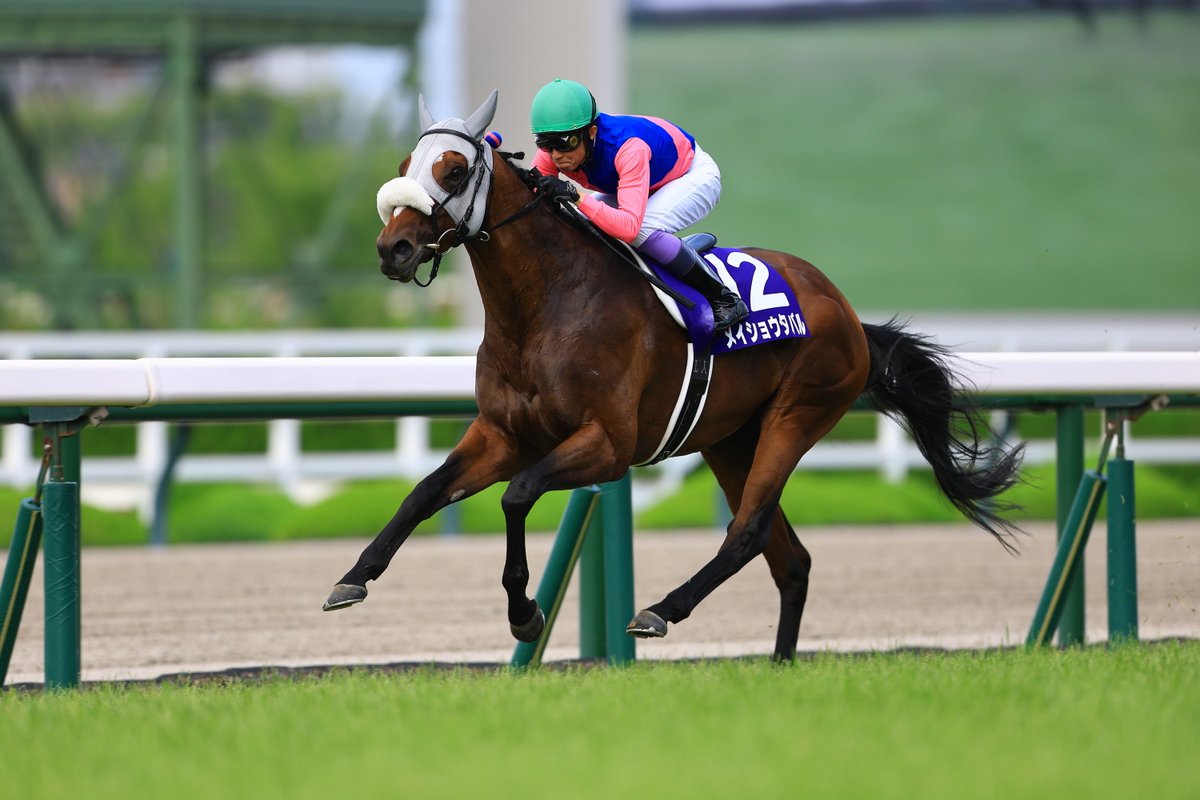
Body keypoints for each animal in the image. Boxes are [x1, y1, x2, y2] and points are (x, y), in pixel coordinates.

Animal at [322, 91, 1023, 662]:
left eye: (455, 169)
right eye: (407, 165)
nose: (393, 249)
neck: (545, 307)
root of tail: (846, 311)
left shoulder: (608, 445)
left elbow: (518, 495)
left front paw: (525, 615)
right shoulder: (502, 433)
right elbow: (425, 491)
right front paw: (353, 576)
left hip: (798, 414)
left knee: (747, 532)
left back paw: (661, 610)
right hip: (730, 438)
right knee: (790, 559)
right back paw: (779, 666)